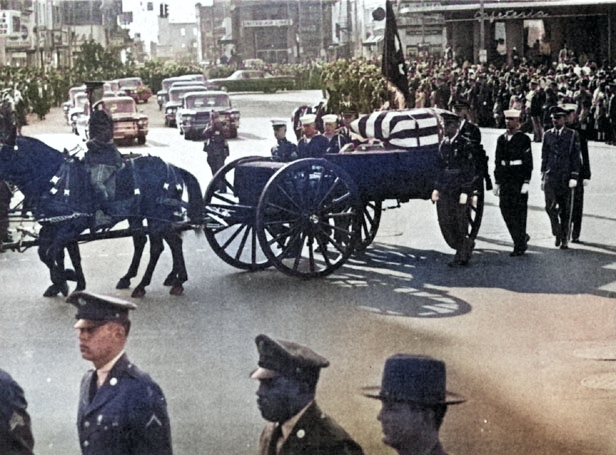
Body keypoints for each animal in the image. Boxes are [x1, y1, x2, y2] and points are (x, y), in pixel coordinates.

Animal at [0, 110, 207, 298]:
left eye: (3, 154)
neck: (54, 177)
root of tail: (172, 167)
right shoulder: (55, 226)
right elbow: (53, 253)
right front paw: (71, 282)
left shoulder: (70, 226)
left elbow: (52, 253)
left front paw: (65, 278)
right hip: (145, 217)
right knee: (158, 242)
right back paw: (150, 278)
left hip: (157, 216)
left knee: (160, 246)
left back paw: (151, 284)